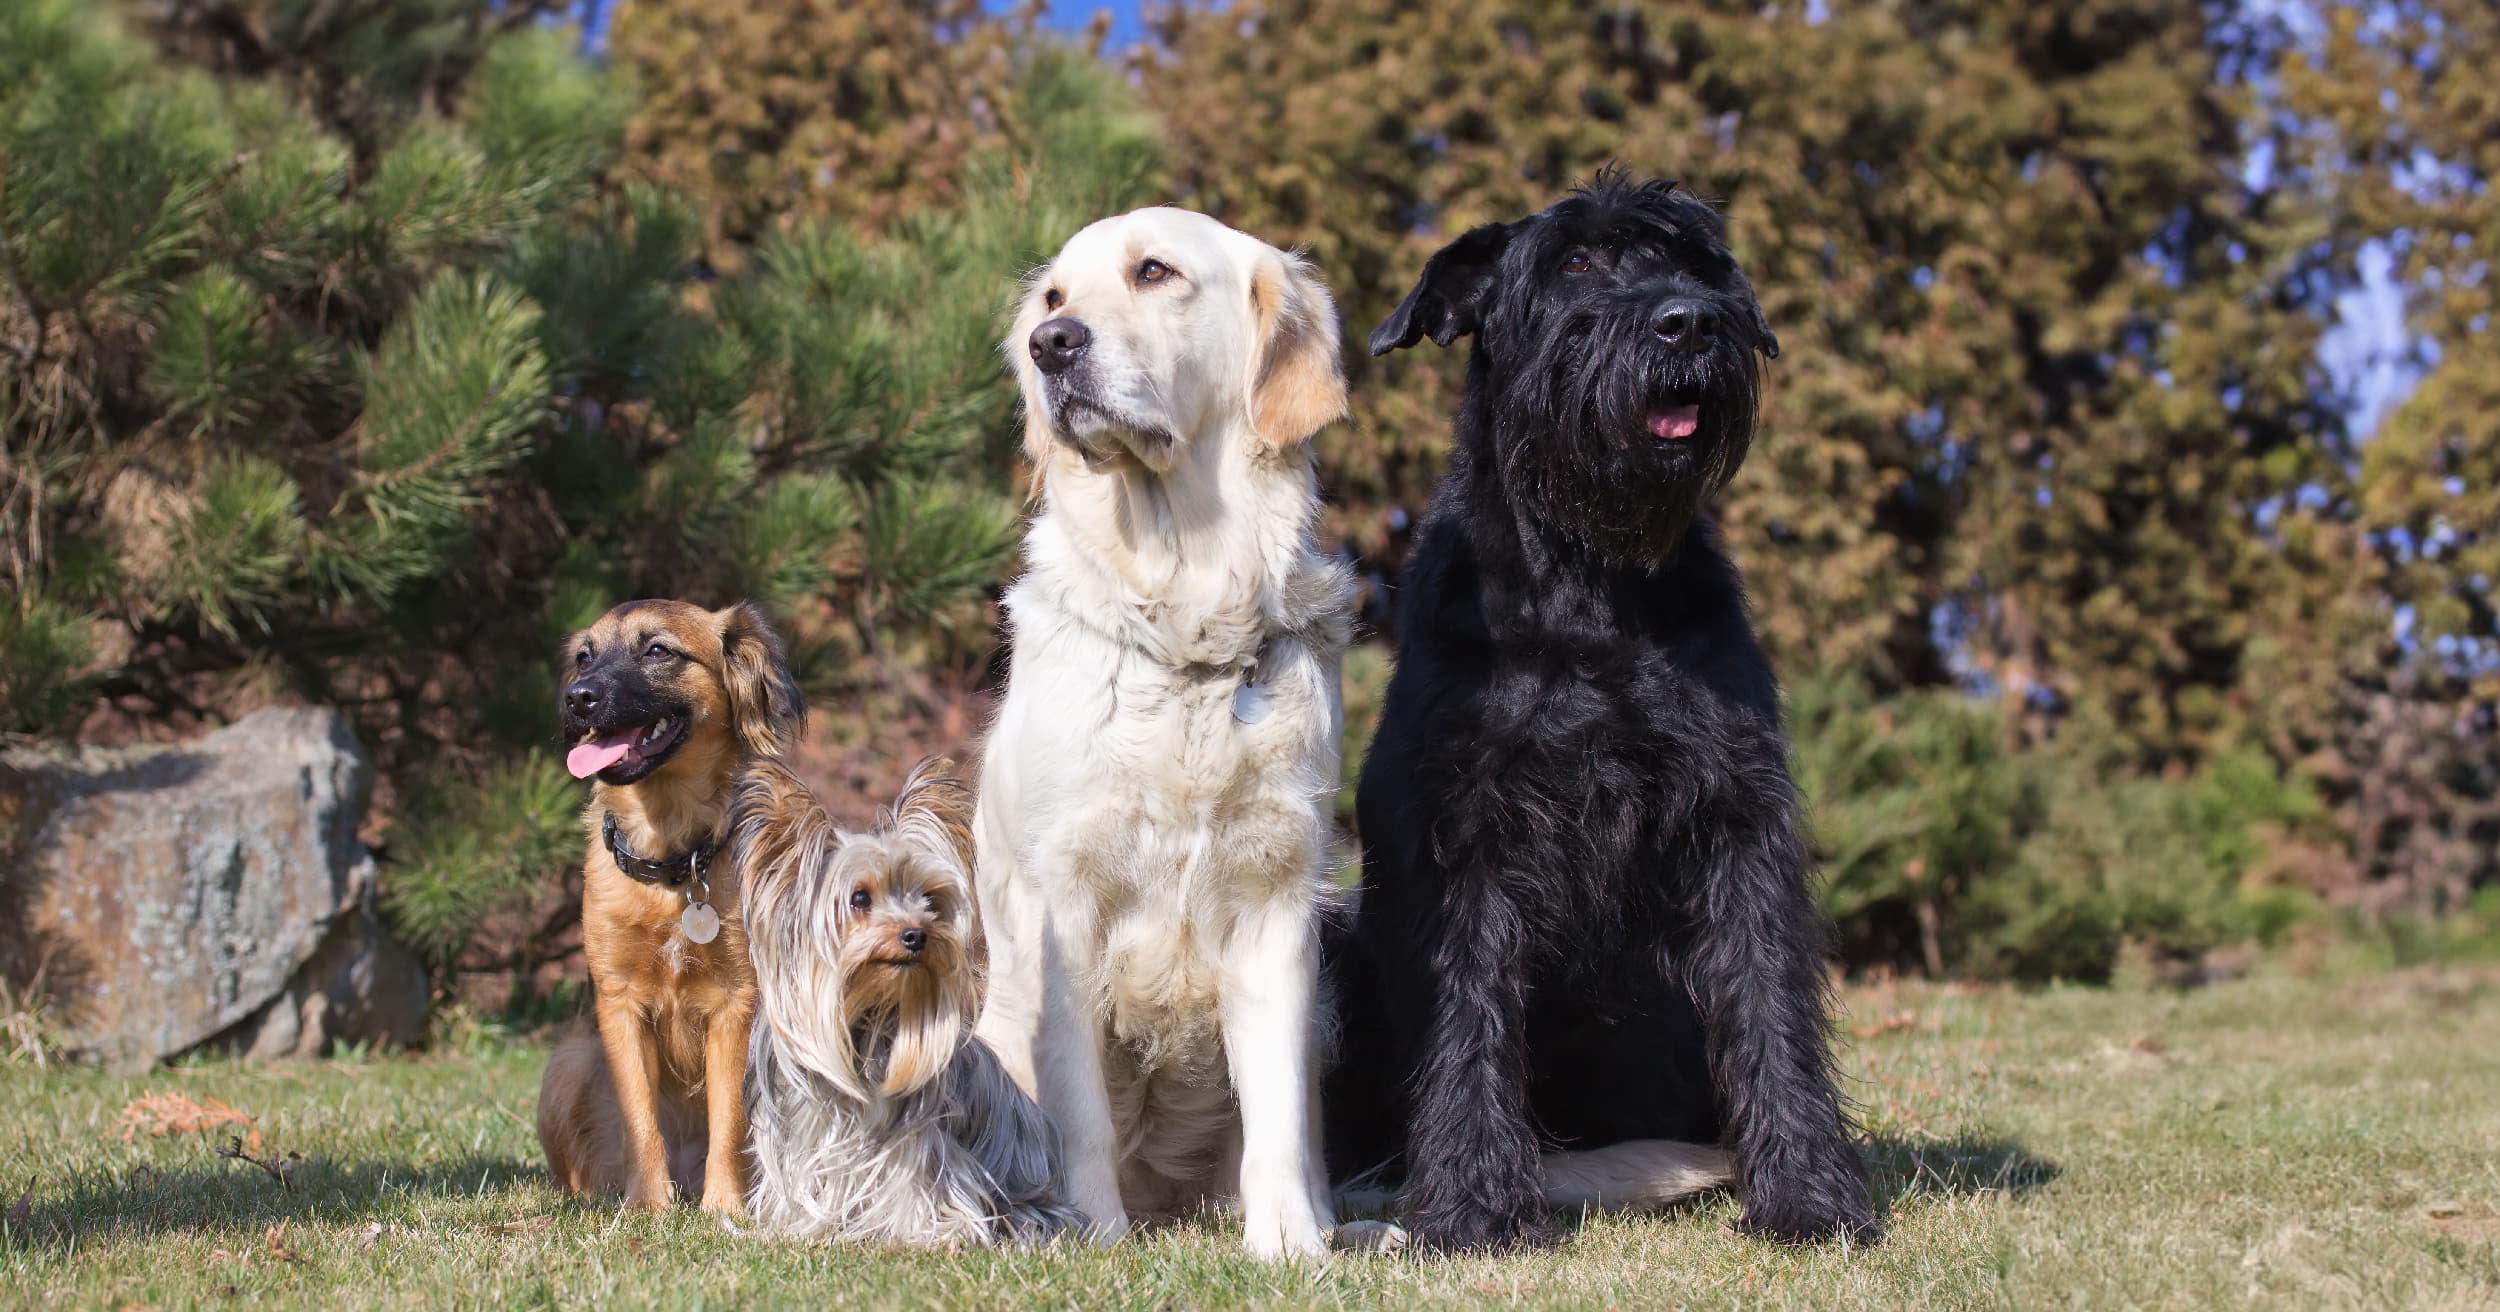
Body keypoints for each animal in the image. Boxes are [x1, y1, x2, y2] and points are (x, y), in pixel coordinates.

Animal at [535, 597, 800, 1214]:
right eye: (584, 656)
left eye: (658, 650)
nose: (577, 697)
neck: (671, 864)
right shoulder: (620, 1005)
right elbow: (640, 1117)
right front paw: (650, 1207)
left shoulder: (737, 1004)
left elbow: (729, 1118)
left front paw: (724, 1209)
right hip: (569, 1062)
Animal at [975, 207, 1360, 1259]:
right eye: (1055, 296)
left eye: (1154, 272)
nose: (1051, 345)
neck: (1187, 627)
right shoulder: (1060, 904)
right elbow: (1079, 1116)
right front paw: (1091, 1237)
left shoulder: (1276, 899)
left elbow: (1277, 1115)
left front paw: (1291, 1245)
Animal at [1330, 171, 1880, 1249]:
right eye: (1576, 263)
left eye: (1694, 261)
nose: (1687, 322)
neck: (1593, 583)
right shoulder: (1468, 831)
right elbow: (1469, 1016)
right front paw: (1470, 1207)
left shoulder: (1736, 817)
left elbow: (1768, 998)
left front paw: (1806, 1193)